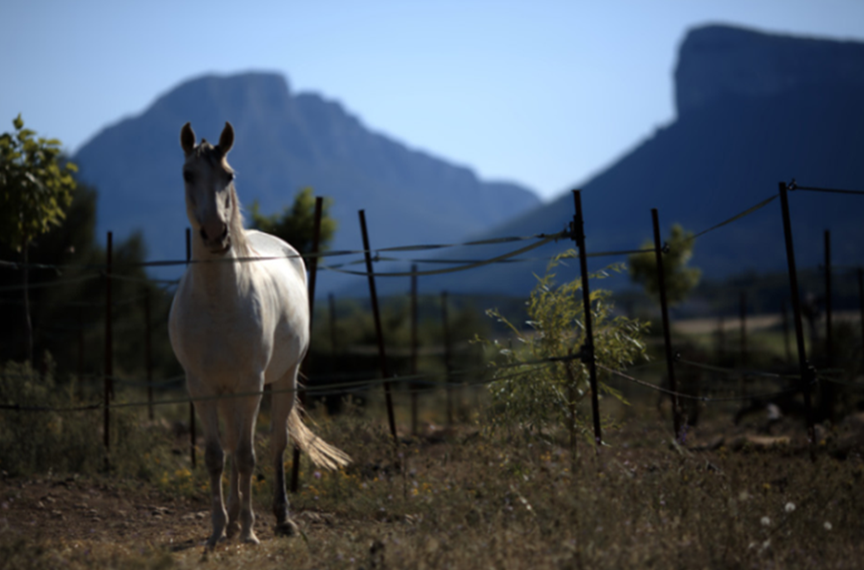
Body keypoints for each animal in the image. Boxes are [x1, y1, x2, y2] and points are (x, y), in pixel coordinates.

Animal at [169, 121, 348, 544]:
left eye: (229, 175)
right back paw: (233, 519)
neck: (218, 300)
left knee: (276, 445)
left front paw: (249, 531)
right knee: (234, 446)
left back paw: (281, 519)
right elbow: (217, 457)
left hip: (281, 380)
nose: (215, 233)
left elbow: (248, 456)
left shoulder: (251, 384)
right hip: (230, 392)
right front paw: (219, 529)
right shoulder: (202, 387)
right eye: (188, 174)